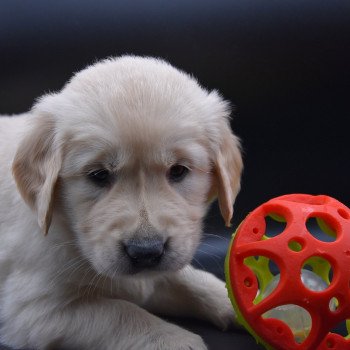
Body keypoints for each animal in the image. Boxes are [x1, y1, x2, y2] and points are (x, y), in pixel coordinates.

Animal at [0, 56, 242, 348]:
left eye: (178, 171)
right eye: (99, 175)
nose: (146, 251)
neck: (70, 233)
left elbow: (192, 281)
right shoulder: (33, 310)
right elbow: (121, 313)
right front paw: (175, 340)